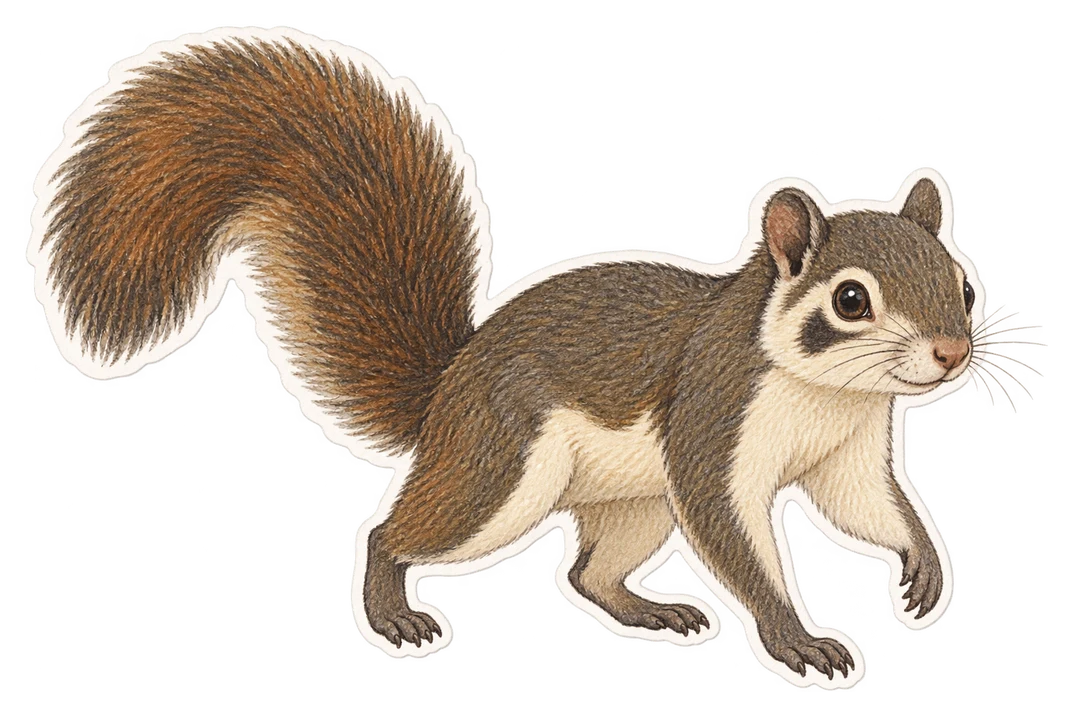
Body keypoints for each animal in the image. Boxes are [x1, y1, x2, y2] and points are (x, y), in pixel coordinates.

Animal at [29, 28, 976, 680]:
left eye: (963, 285)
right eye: (850, 300)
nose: (950, 352)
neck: (827, 394)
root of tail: (448, 389)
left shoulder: (850, 450)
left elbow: (869, 508)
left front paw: (924, 570)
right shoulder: (714, 422)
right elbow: (738, 538)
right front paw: (799, 640)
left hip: (633, 503)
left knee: (585, 573)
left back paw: (654, 612)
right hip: (503, 468)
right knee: (396, 534)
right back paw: (393, 611)